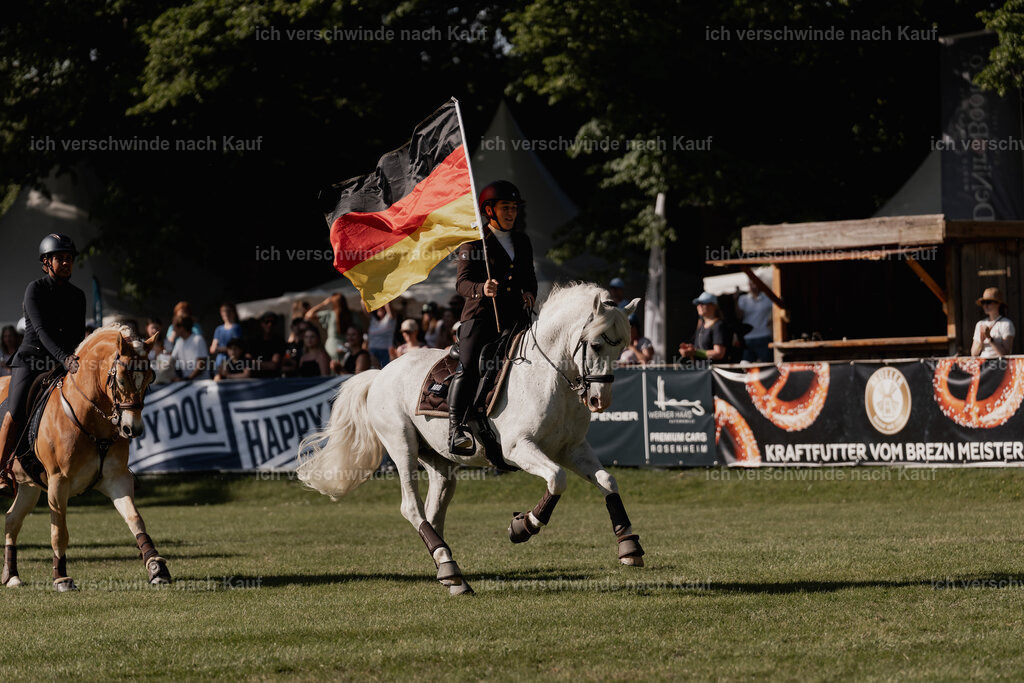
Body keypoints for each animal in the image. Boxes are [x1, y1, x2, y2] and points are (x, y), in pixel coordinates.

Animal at [1, 324, 169, 591]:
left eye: (150, 379)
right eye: (121, 379)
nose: (132, 429)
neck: (91, 417)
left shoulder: (116, 479)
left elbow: (135, 519)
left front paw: (156, 566)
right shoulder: (58, 482)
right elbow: (59, 532)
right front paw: (61, 577)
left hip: (29, 486)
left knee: (11, 519)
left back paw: (12, 575)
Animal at [298, 282, 645, 595]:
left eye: (621, 347)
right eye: (596, 344)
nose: (600, 400)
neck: (549, 377)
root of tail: (381, 372)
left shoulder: (572, 449)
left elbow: (607, 481)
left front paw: (628, 545)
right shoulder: (519, 448)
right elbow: (557, 480)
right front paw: (523, 526)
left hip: (439, 462)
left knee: (432, 513)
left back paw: (447, 569)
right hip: (401, 446)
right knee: (412, 508)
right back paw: (451, 569)